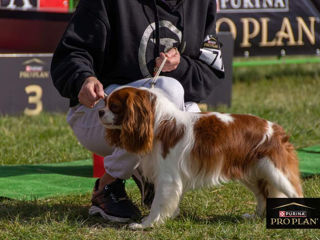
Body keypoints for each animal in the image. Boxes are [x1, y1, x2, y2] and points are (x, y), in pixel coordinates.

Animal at [99, 86, 304, 229]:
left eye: (114, 106)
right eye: (105, 102)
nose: (100, 111)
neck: (158, 123)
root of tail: (276, 129)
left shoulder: (167, 178)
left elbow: (158, 202)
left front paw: (147, 224)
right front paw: (167, 217)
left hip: (277, 173)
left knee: (295, 194)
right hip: (253, 173)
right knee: (262, 196)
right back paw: (255, 217)